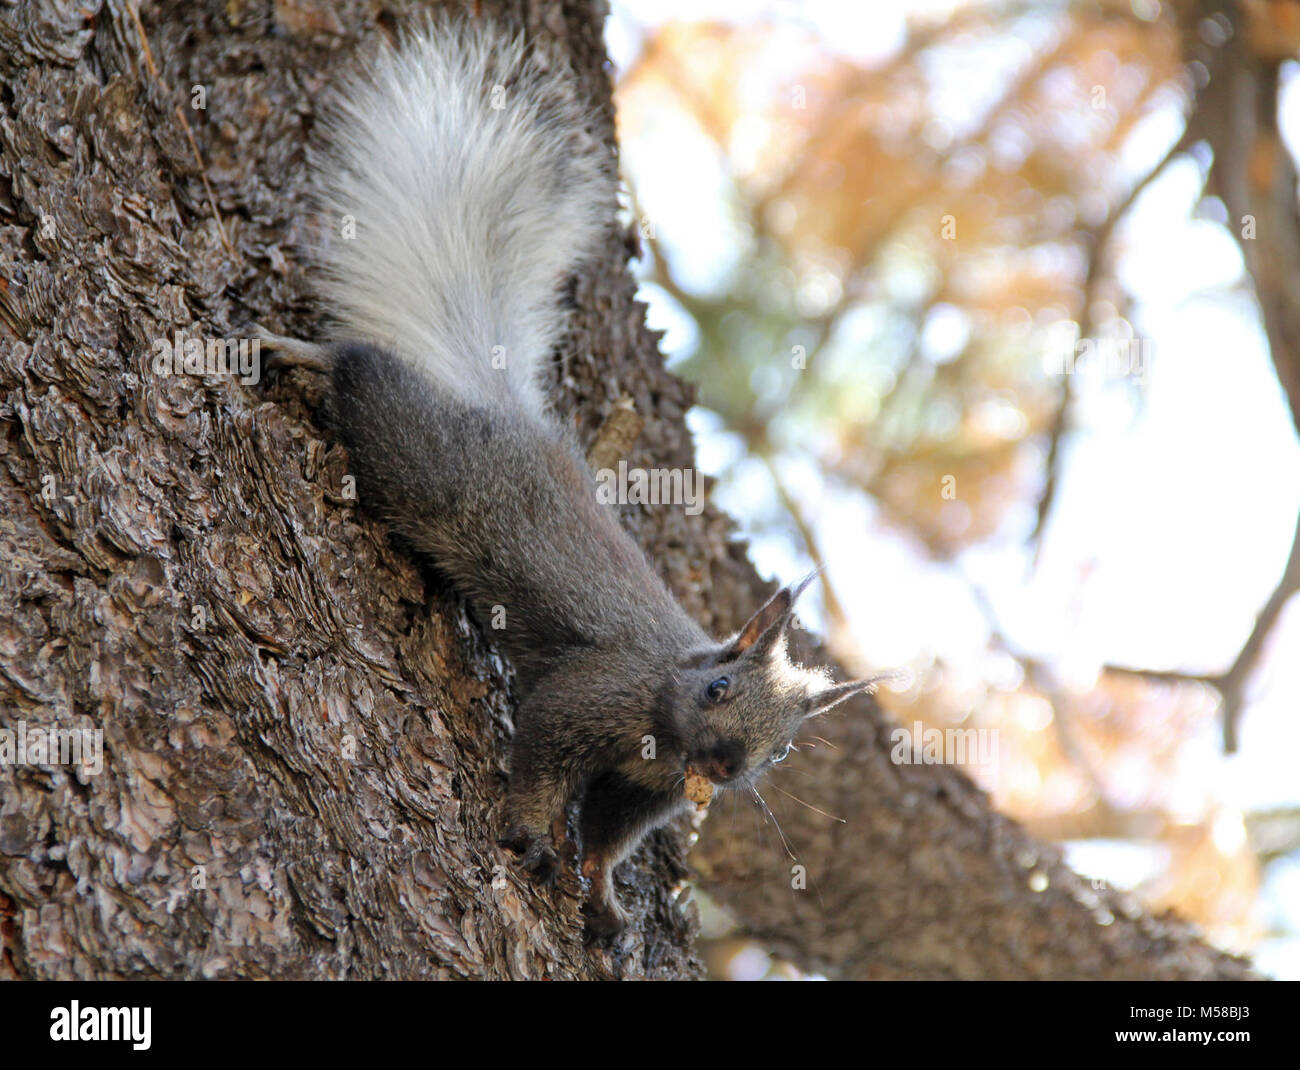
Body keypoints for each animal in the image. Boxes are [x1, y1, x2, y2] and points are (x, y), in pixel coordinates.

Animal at [258, 14, 878, 936]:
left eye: (784, 750)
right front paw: (526, 830)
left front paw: (604, 893)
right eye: (719, 687)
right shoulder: (593, 693)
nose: (725, 766)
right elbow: (544, 755)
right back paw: (299, 352)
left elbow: (612, 834)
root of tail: (507, 413)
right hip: (424, 459)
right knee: (364, 373)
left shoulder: (647, 788)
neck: (664, 725)